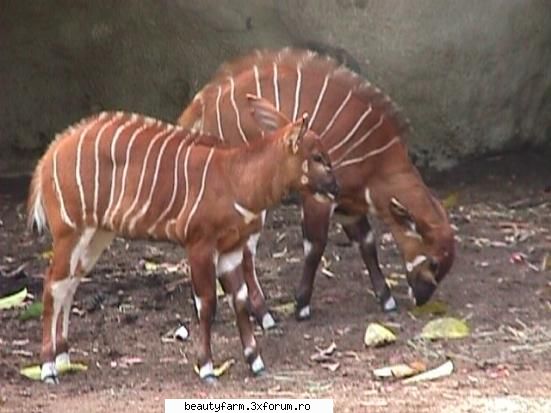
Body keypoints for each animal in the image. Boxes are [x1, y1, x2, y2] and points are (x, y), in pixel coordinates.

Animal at [28, 96, 338, 384]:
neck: (236, 178)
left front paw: (256, 362)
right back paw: (48, 368)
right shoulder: (199, 244)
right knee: (52, 285)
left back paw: (64, 358)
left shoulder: (230, 250)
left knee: (70, 283)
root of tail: (50, 154)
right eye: (317, 157)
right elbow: (207, 304)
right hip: (70, 232)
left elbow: (239, 301)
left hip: (97, 235)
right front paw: (207, 368)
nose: (336, 187)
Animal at [179, 48, 454, 324]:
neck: (379, 159)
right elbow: (315, 246)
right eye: (434, 262)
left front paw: (386, 299)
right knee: (245, 253)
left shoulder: (348, 208)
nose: (422, 298)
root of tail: (203, 102)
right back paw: (264, 315)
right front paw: (301, 306)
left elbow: (366, 243)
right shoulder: (320, 198)